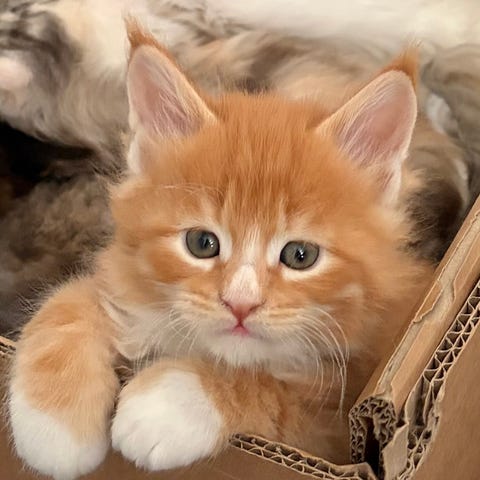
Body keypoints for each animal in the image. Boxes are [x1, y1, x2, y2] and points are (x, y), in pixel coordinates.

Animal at [8, 23, 435, 479]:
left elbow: (277, 392)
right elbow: (69, 301)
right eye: (201, 243)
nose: (240, 303)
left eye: (300, 255)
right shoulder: (122, 271)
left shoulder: (337, 425)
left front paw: (166, 406)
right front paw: (51, 427)